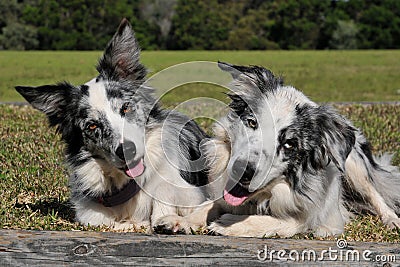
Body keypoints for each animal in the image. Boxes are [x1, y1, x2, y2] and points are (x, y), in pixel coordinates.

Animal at [156, 61, 400, 238]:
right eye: (252, 122)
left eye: (289, 144)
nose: (243, 171)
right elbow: (206, 207)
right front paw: (180, 221)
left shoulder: (319, 219)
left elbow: (284, 222)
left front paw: (229, 224)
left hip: (353, 165)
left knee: (375, 194)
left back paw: (392, 220)